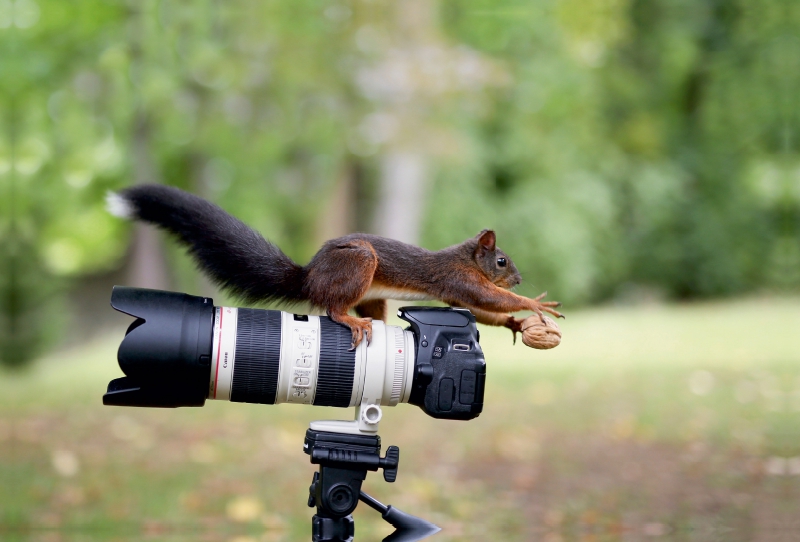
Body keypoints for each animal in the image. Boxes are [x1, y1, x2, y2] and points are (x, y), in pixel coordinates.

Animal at [109, 185, 564, 350]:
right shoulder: (457, 279)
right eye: (501, 260)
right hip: (359, 262)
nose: (518, 278)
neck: (464, 256)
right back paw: (349, 321)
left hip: (372, 296)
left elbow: (484, 310)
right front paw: (533, 303)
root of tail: (310, 276)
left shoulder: (457, 294)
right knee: (330, 309)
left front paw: (517, 322)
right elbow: (486, 296)